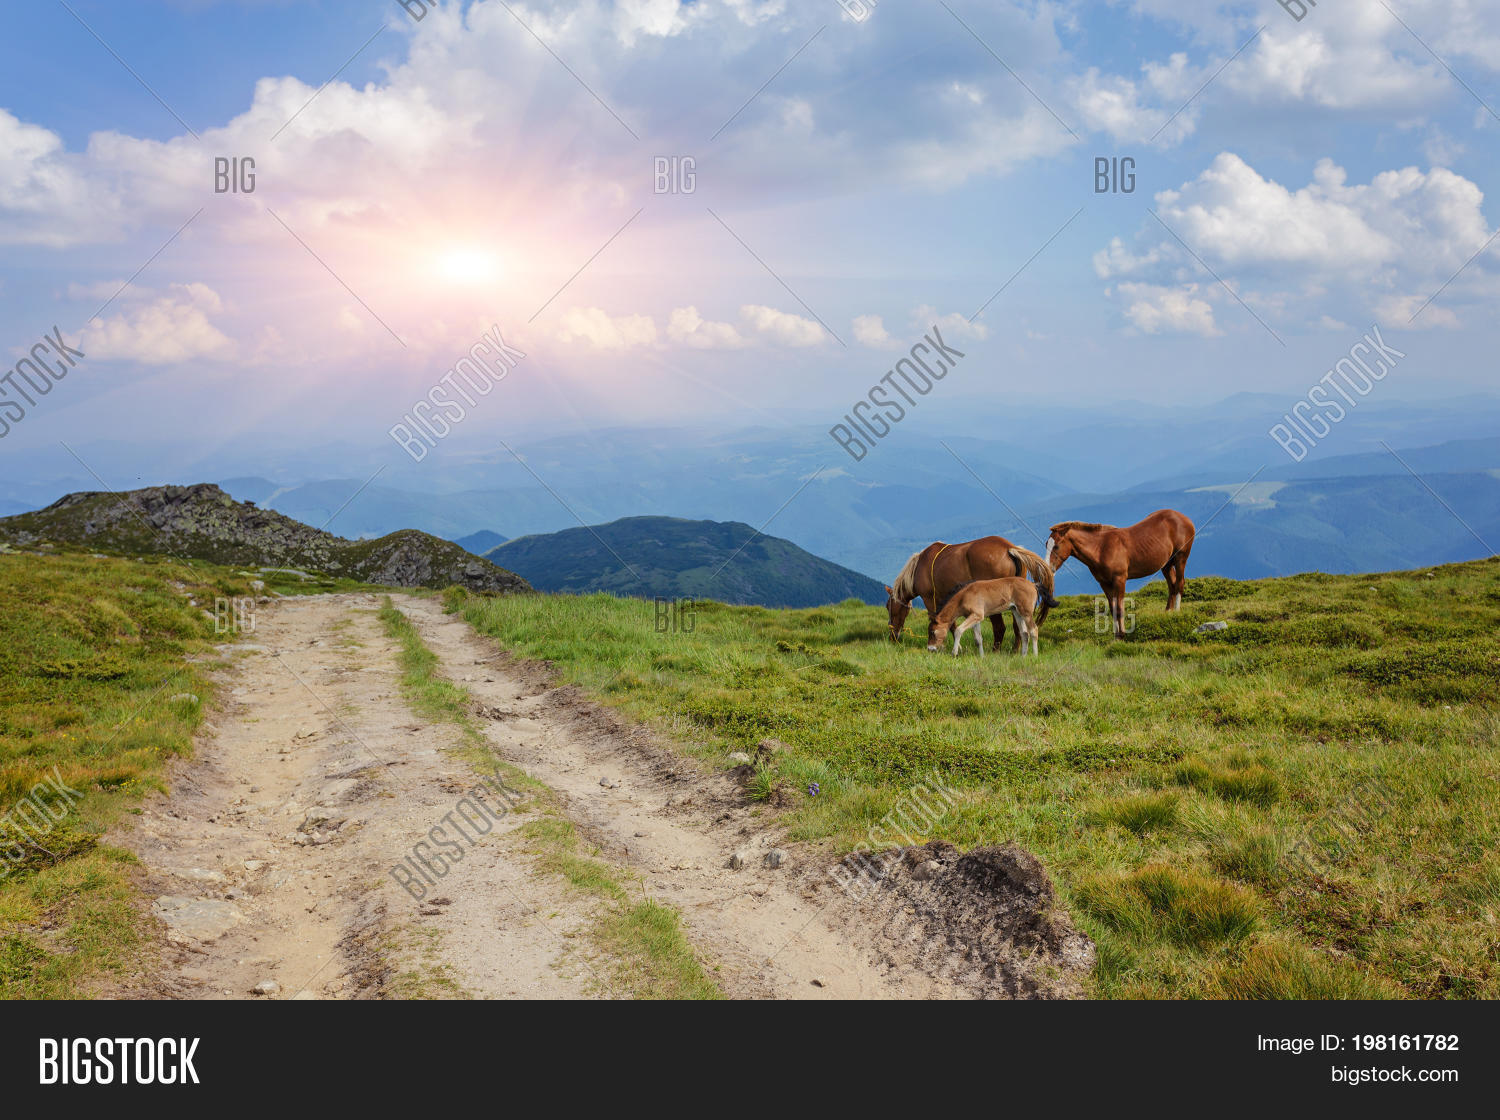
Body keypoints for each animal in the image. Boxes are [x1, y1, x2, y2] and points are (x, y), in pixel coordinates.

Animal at [927, 577, 1056, 657]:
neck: (964, 596)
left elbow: (958, 630)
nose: (930, 649)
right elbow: (978, 639)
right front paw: (982, 657)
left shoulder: (977, 615)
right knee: (1024, 634)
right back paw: (1023, 656)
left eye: (933, 632)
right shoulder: (975, 618)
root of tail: (1033, 584)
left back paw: (1034, 656)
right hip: (1017, 612)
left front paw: (954, 653)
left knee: (1033, 630)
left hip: (1026, 613)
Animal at [1045, 510, 1195, 638]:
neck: (1101, 548)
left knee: (1179, 583)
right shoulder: (1104, 583)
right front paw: (1116, 635)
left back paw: (1176, 613)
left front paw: (1122, 635)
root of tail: (1184, 518)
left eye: (1056, 546)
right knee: (1172, 585)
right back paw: (1168, 612)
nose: (1048, 568)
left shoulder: (1120, 580)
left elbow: (1119, 609)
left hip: (1180, 558)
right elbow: (1112, 609)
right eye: (1046, 544)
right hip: (1166, 564)